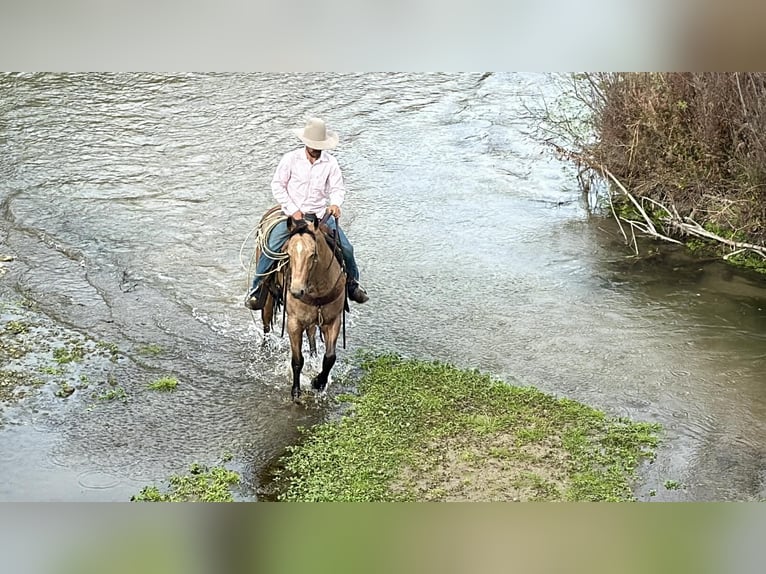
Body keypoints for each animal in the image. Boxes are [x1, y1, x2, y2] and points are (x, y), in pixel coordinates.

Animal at [255, 213, 347, 402]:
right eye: (288, 253)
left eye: (312, 254)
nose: (297, 290)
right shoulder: (294, 323)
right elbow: (297, 360)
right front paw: (296, 391)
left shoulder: (333, 320)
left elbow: (330, 358)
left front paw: (318, 383)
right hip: (267, 299)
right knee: (266, 324)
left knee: (311, 333)